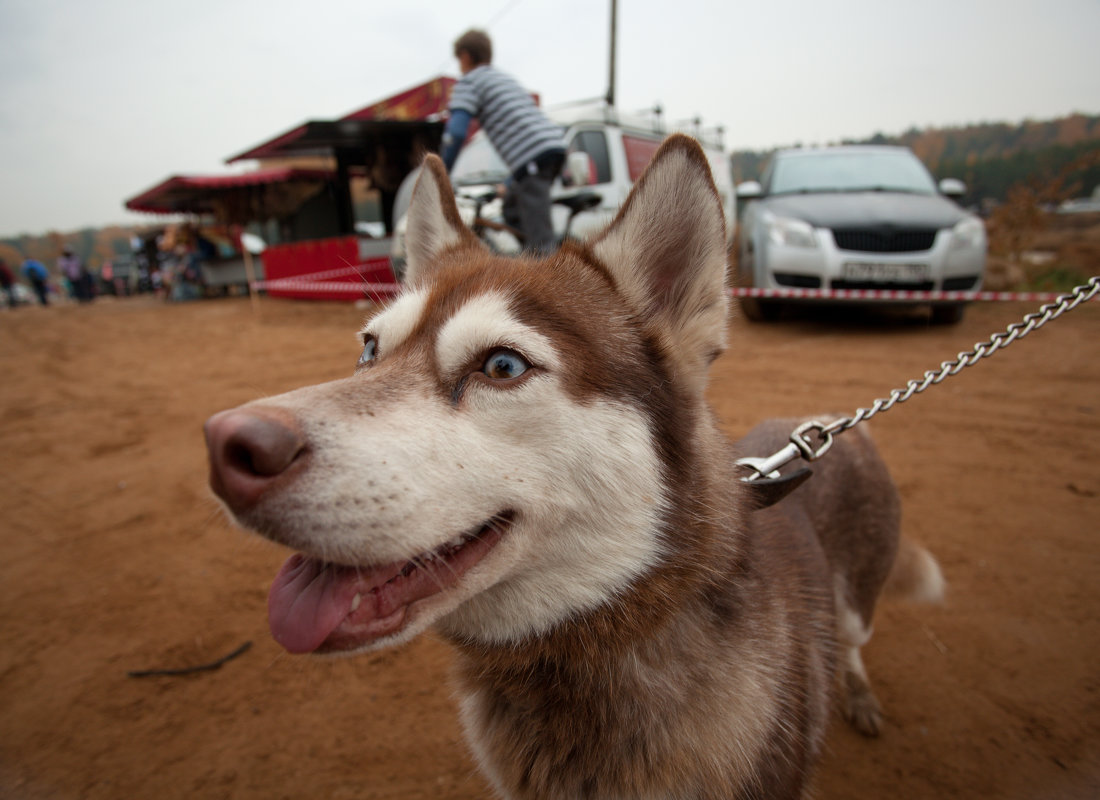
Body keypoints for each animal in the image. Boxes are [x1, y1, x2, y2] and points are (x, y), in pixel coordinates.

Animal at [204, 134, 937, 796]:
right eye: (368, 350)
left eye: (502, 366)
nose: (226, 446)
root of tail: (816, 426)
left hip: (857, 602)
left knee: (855, 641)